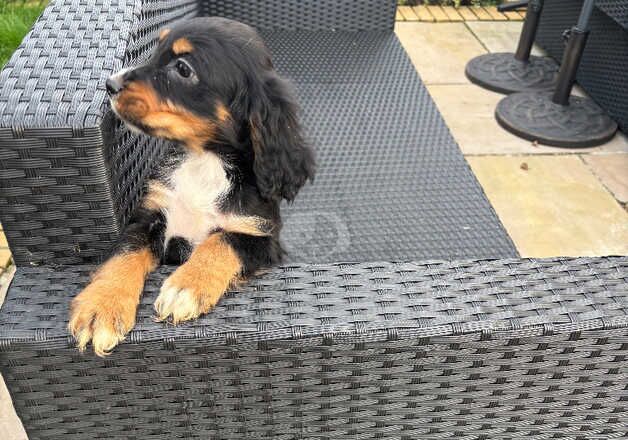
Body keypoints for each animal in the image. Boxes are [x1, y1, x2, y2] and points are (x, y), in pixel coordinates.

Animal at [70, 17, 314, 356]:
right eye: (155, 50)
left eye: (183, 69)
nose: (109, 85)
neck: (205, 161)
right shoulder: (148, 217)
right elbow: (124, 255)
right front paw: (101, 307)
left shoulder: (261, 236)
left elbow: (222, 241)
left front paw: (185, 286)